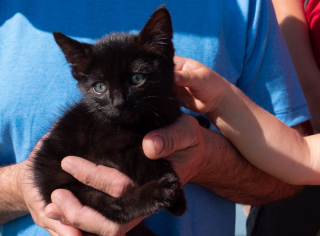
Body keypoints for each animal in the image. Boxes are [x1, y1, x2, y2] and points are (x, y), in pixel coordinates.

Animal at [32, 5, 186, 236]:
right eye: (100, 87)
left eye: (137, 79)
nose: (119, 103)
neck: (143, 121)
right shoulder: (102, 152)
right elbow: (143, 156)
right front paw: (178, 199)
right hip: (67, 185)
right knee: (113, 207)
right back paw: (158, 192)